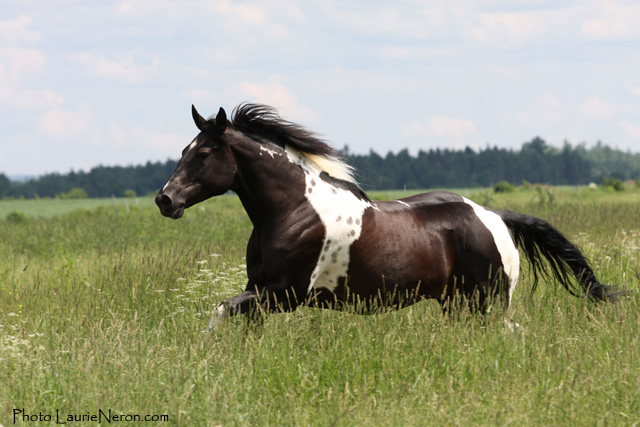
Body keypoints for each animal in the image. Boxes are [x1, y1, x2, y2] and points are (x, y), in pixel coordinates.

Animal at [155, 103, 619, 326]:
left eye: (204, 153)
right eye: (184, 150)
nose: (165, 200)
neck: (292, 212)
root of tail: (495, 217)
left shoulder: (284, 294)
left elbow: (218, 314)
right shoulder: (259, 290)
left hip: (485, 302)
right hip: (457, 304)